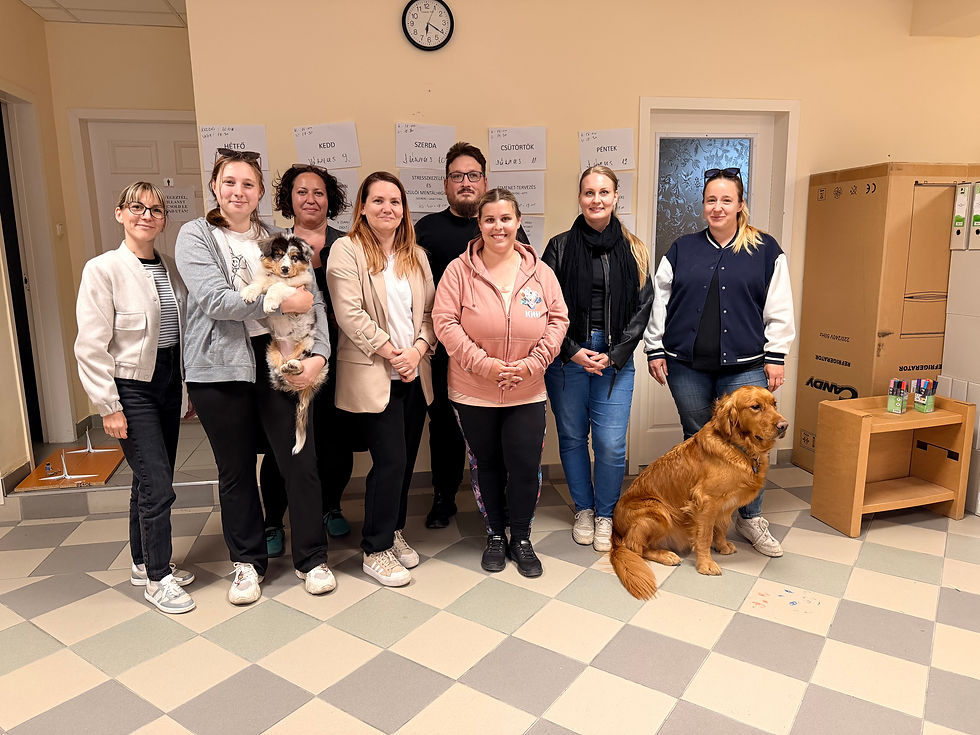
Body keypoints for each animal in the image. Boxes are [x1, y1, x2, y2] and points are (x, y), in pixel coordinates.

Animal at [240, 233, 328, 454]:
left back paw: (294, 365)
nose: (286, 269)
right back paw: (286, 368)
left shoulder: (296, 289)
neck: (282, 277)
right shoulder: (265, 278)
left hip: (308, 343)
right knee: (281, 374)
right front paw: (248, 292)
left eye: (295, 257)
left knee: (300, 363)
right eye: (278, 254)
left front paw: (270, 302)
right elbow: (261, 283)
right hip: (271, 352)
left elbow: (277, 287)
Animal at [610, 385, 788, 600]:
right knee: (634, 547)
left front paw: (722, 546)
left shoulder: (726, 504)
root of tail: (615, 531)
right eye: (755, 406)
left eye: (774, 404)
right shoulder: (706, 501)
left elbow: (721, 528)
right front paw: (706, 564)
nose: (784, 425)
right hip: (658, 510)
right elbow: (704, 536)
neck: (738, 448)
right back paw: (666, 555)